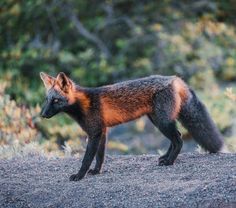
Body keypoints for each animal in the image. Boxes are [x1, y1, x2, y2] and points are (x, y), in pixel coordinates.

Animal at [39, 71, 224, 180]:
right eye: (47, 100)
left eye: (56, 101)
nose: (43, 114)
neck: (84, 104)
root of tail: (175, 79)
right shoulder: (103, 131)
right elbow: (100, 156)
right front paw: (97, 171)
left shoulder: (94, 133)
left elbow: (87, 159)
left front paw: (79, 175)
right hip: (158, 120)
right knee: (174, 139)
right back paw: (165, 158)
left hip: (162, 122)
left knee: (178, 139)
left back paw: (169, 162)